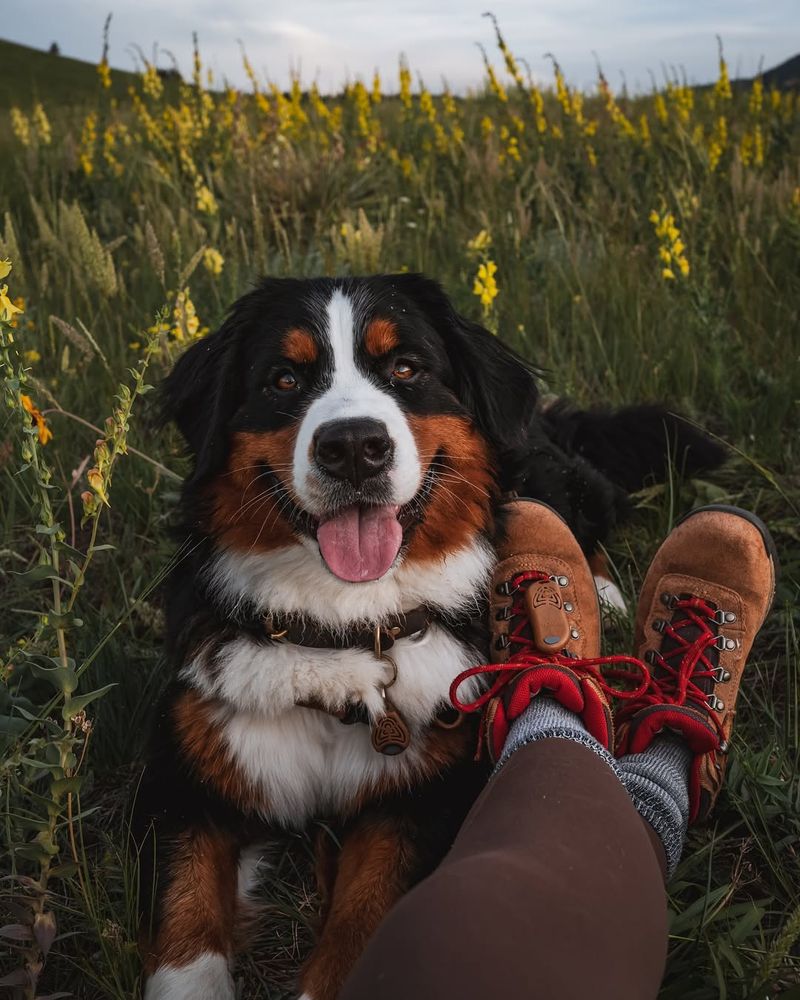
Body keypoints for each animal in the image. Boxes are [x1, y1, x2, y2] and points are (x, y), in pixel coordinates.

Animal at [133, 272, 724, 1000]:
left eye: (406, 369)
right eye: (283, 379)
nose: (353, 447)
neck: (344, 629)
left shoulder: (422, 800)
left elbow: (367, 923)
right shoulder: (184, 777)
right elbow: (184, 920)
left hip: (544, 473)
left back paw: (602, 590)